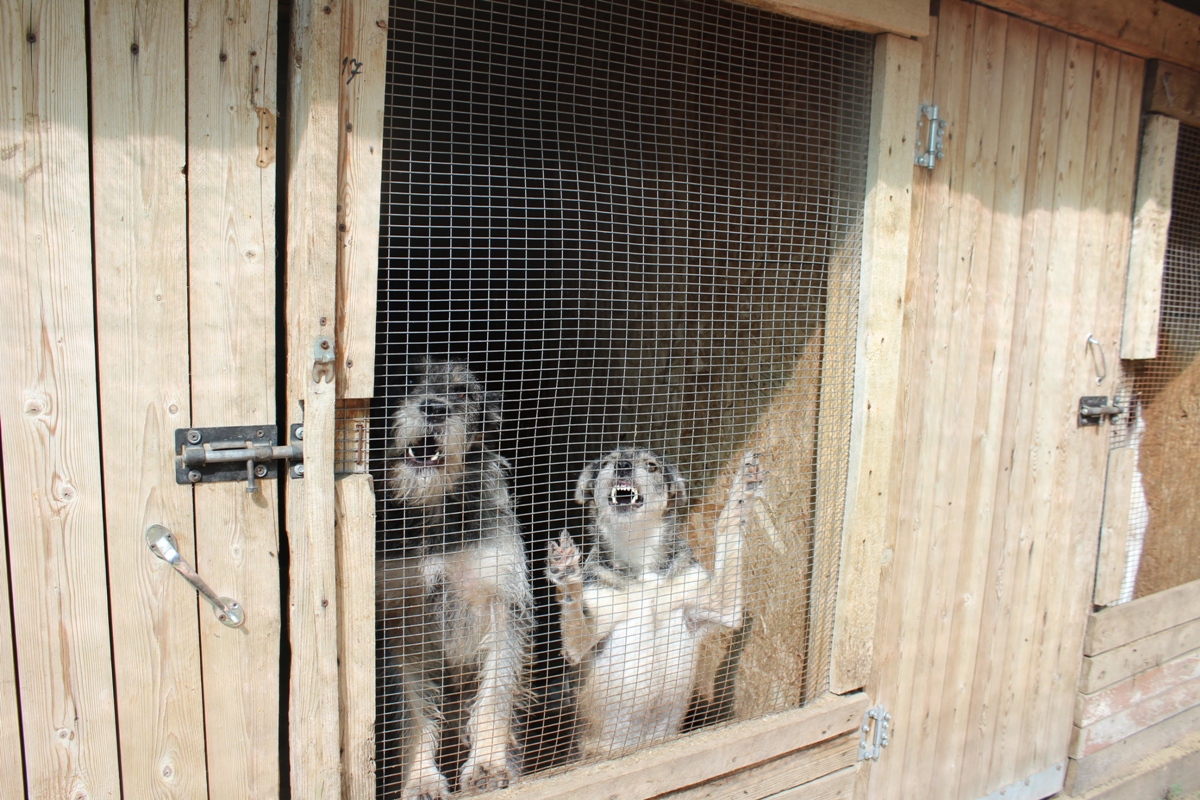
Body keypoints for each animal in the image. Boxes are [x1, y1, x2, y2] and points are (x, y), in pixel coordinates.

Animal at [374, 362, 525, 800]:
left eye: (461, 392)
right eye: (402, 378)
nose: (435, 409)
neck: (432, 511)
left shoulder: (501, 602)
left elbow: (495, 693)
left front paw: (489, 764)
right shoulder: (395, 627)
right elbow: (410, 711)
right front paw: (420, 779)